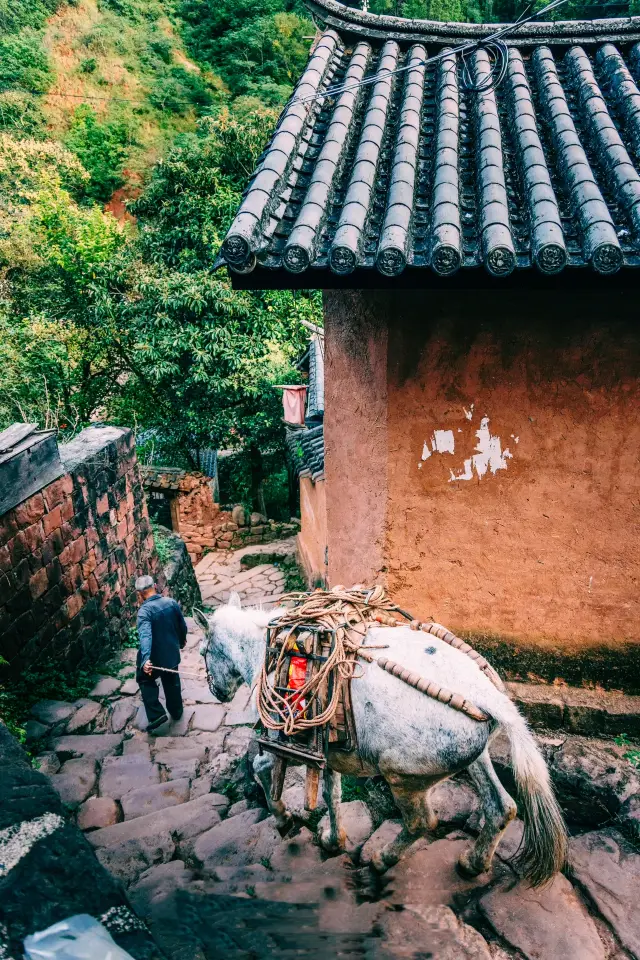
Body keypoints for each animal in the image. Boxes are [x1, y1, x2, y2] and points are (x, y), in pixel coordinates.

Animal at [194, 600, 564, 884]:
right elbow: (332, 794)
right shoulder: (326, 753)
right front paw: (333, 839)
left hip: (403, 778)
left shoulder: (283, 742)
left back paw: (382, 860)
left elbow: (261, 767)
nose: (216, 691)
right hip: (477, 758)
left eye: (202, 651)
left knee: (420, 823)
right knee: (501, 807)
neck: (272, 653)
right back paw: (472, 864)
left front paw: (284, 819)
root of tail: (486, 695)